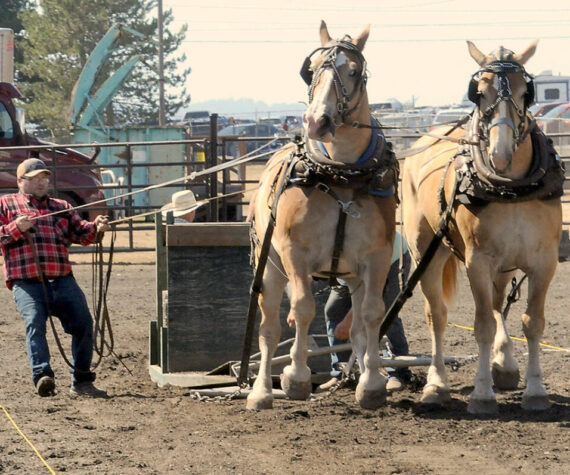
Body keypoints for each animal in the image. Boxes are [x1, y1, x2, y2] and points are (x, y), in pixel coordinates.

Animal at [246, 20, 398, 410]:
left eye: (355, 71)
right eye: (311, 70)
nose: (318, 121)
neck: (340, 174)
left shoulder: (376, 257)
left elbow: (372, 314)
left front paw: (372, 383)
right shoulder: (294, 252)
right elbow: (301, 309)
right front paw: (296, 377)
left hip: (351, 276)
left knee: (356, 325)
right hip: (269, 266)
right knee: (269, 326)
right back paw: (261, 392)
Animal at [402, 40, 560, 412]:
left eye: (525, 92)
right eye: (479, 92)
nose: (500, 154)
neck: (511, 187)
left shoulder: (544, 261)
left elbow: (532, 322)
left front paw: (535, 390)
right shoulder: (477, 261)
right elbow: (483, 324)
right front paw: (482, 394)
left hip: (505, 264)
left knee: (498, 302)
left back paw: (505, 364)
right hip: (426, 253)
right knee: (438, 315)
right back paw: (436, 384)